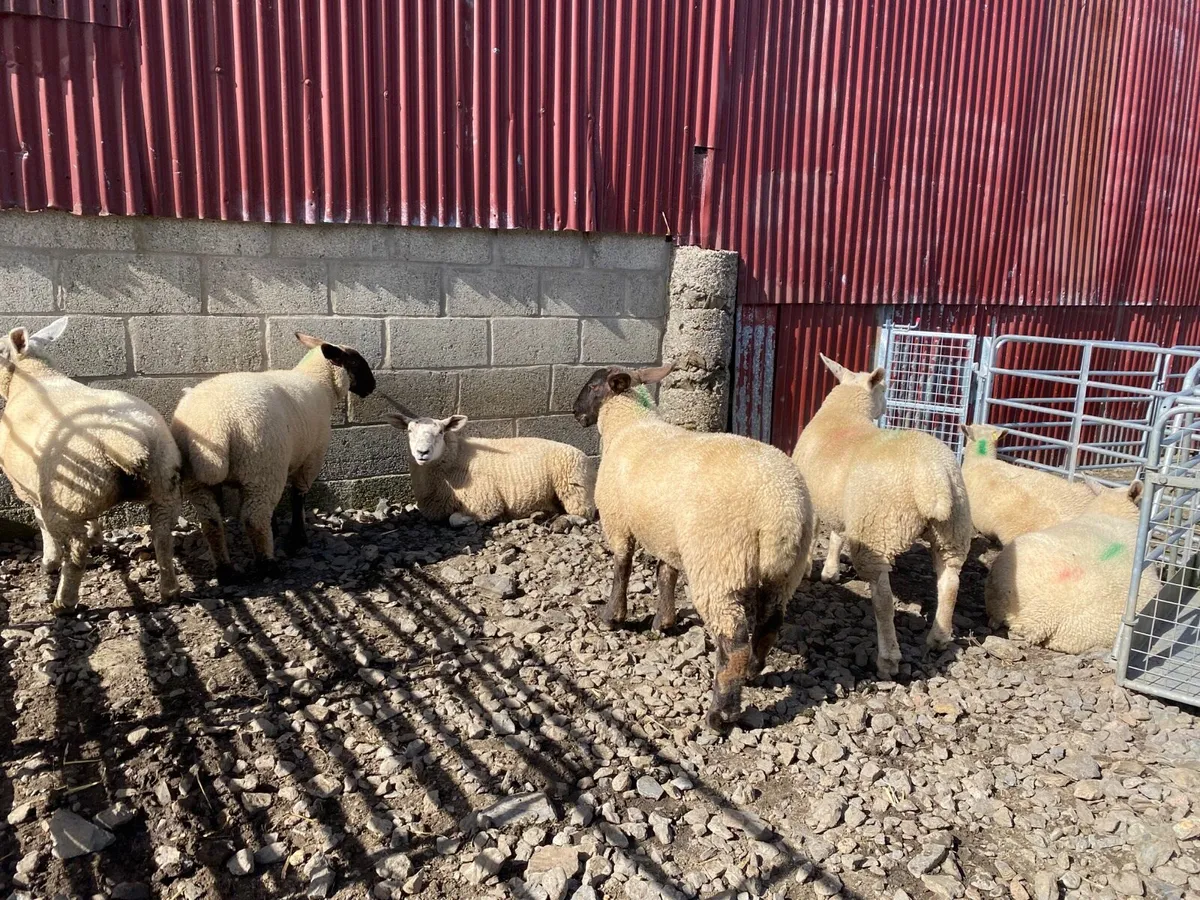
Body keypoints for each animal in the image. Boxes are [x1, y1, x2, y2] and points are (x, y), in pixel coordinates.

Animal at [0, 318, 181, 610]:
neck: (36, 376)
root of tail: (122, 440)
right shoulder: (83, 496)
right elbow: (95, 518)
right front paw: (97, 537)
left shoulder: (29, 490)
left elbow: (41, 523)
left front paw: (49, 562)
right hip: (161, 482)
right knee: (163, 536)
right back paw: (169, 591)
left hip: (65, 500)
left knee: (75, 551)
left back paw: (63, 602)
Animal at [170, 332, 376, 581]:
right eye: (356, 362)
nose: (372, 386)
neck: (319, 383)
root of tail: (214, 426)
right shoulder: (311, 458)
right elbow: (298, 497)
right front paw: (298, 537)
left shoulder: (283, 462)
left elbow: (278, 504)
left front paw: (277, 528)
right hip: (262, 467)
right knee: (254, 519)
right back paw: (268, 566)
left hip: (201, 479)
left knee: (211, 521)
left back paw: (225, 570)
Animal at [382, 411, 594, 526]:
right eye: (409, 431)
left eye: (441, 432)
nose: (422, 452)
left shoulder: (485, 503)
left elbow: (454, 519)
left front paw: (472, 520)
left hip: (574, 489)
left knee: (585, 514)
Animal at [573, 362, 815, 731]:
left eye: (592, 385)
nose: (574, 413)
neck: (628, 425)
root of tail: (784, 512)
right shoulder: (668, 536)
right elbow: (665, 575)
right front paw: (663, 622)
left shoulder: (618, 521)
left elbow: (622, 568)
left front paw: (613, 617)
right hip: (784, 573)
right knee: (770, 624)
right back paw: (753, 672)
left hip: (719, 564)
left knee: (733, 642)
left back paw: (721, 714)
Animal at [791, 354, 972, 679]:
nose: (886, 406)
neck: (844, 414)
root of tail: (933, 477)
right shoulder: (844, 507)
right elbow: (836, 536)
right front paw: (831, 572)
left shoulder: (815, 499)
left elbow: (815, 537)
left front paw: (812, 569)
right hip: (953, 529)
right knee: (950, 582)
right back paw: (938, 639)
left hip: (879, 531)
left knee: (883, 600)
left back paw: (888, 659)